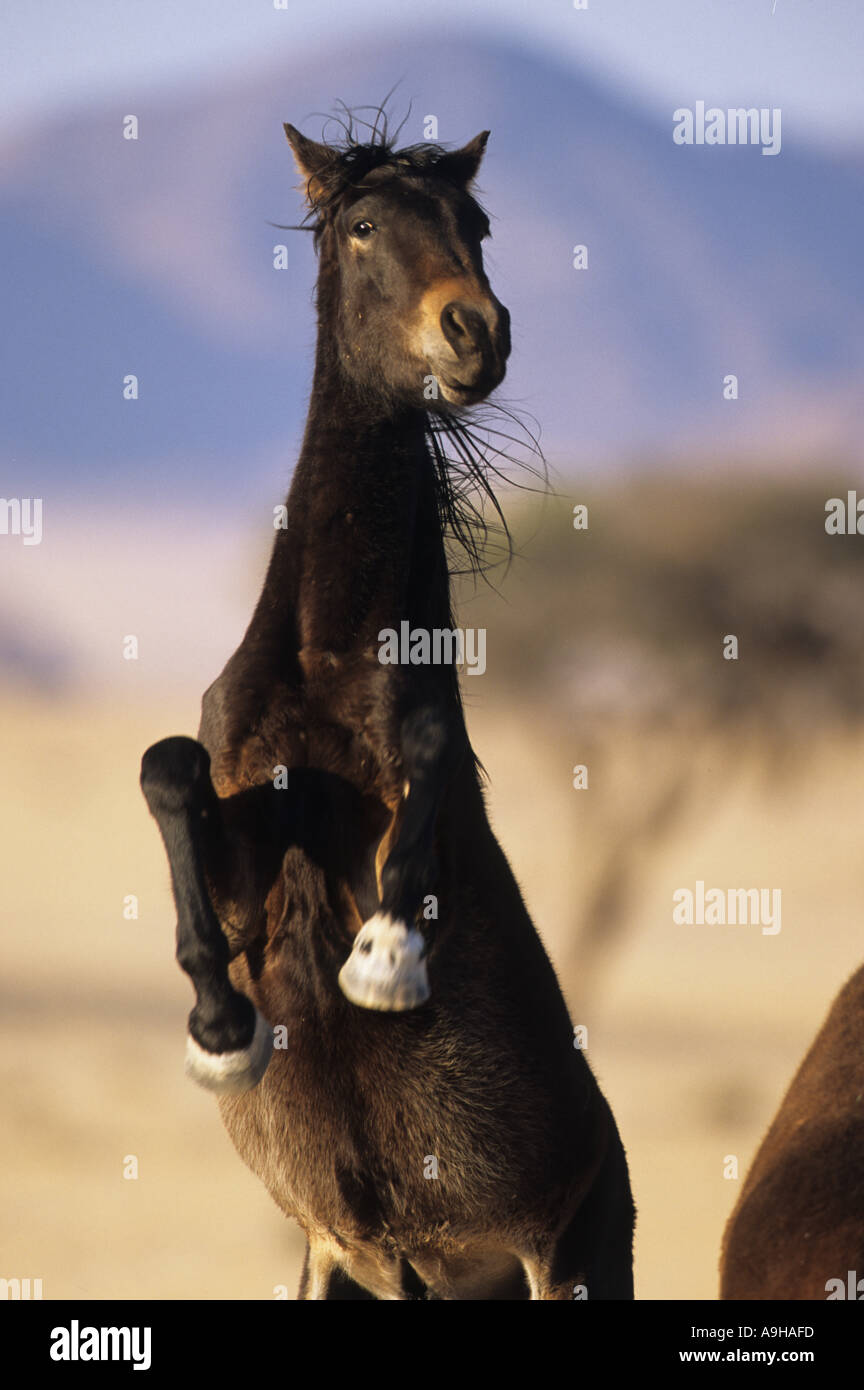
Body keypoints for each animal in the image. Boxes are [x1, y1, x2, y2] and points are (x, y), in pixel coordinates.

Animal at [140, 113, 635, 1300]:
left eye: (478, 222)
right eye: (362, 226)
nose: (477, 332)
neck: (324, 660)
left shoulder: (422, 821)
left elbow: (427, 756)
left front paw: (383, 960)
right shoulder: (245, 881)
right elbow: (168, 767)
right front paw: (219, 1031)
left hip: (564, 1261)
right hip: (338, 1266)